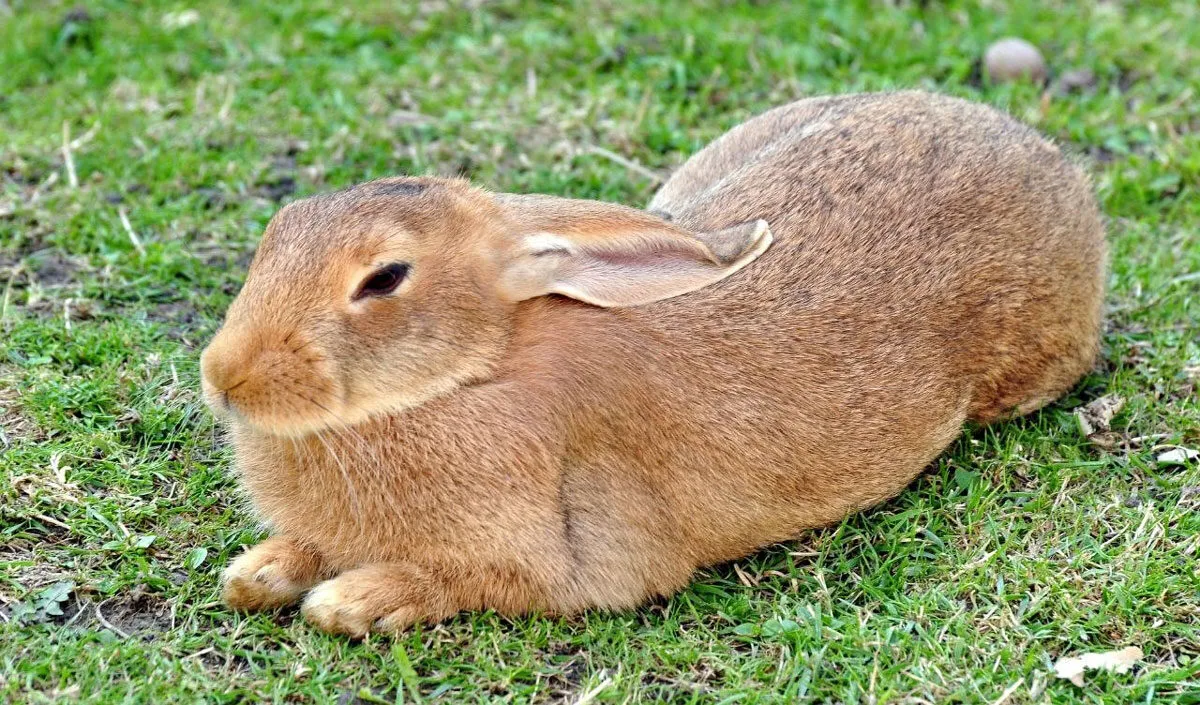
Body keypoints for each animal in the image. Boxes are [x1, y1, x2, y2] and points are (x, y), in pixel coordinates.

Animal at [200, 90, 1106, 637]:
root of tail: (1050, 161)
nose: (223, 377)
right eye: (277, 230)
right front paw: (257, 573)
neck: (471, 373)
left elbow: (463, 581)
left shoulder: (557, 564)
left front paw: (349, 600)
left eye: (385, 277)